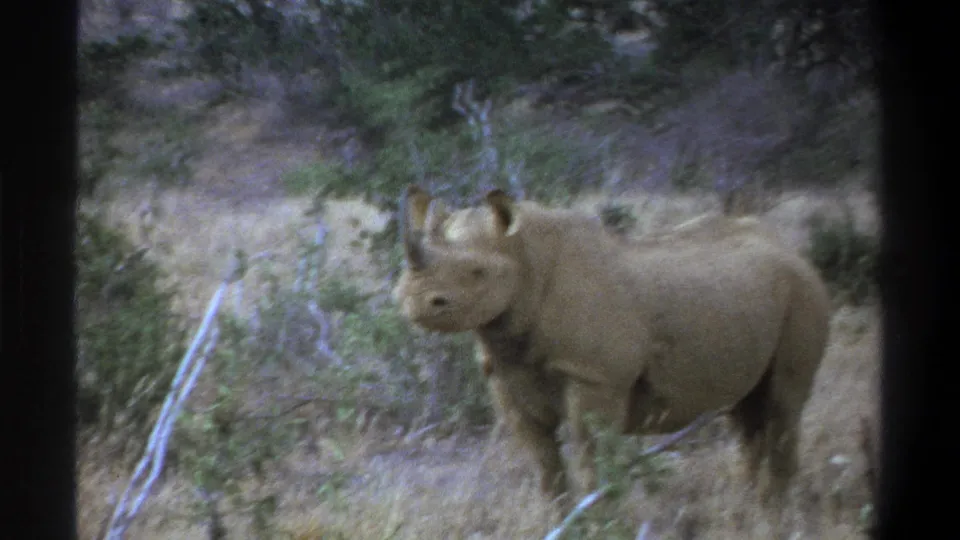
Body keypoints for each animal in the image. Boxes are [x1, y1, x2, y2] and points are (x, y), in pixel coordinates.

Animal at [392, 185, 831, 516]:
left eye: (477, 273)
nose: (414, 301)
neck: (524, 257)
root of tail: (790, 249)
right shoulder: (506, 374)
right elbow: (544, 464)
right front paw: (559, 519)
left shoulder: (595, 377)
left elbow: (591, 459)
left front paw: (599, 522)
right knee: (747, 412)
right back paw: (744, 508)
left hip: (804, 292)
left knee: (784, 403)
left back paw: (772, 516)